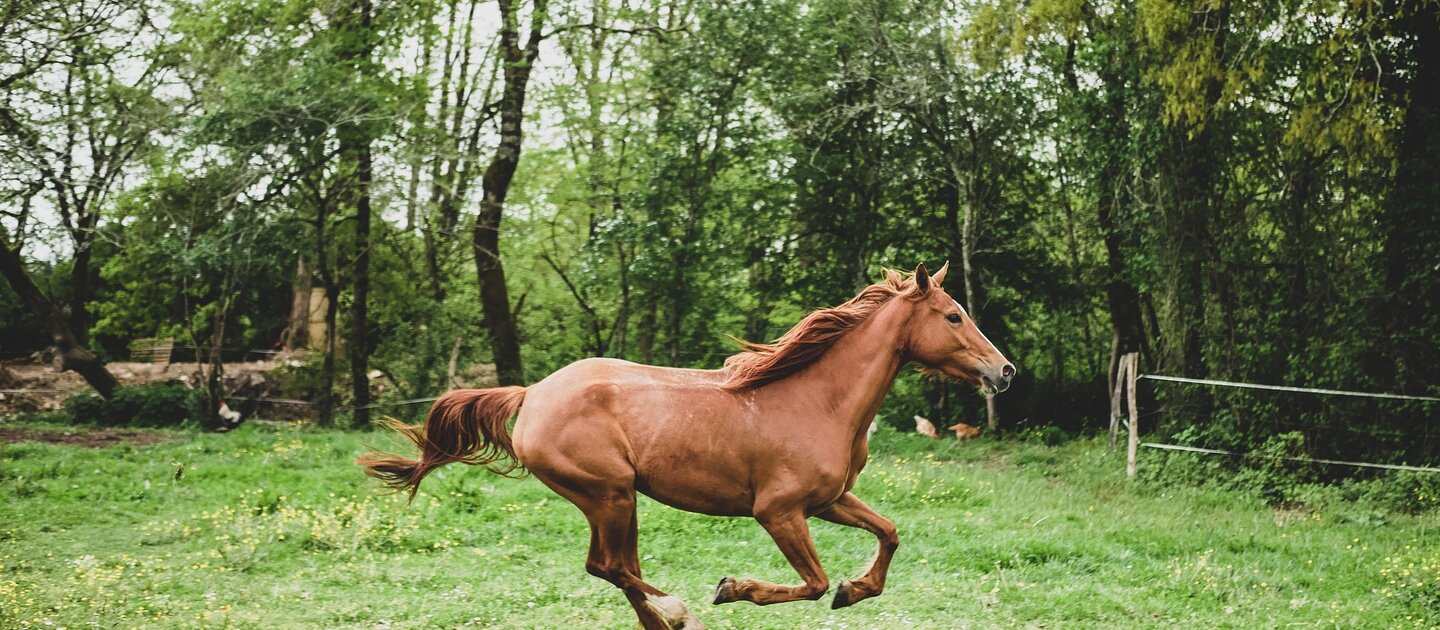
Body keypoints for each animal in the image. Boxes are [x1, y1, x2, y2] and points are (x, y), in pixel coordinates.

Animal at [358, 263, 1013, 627]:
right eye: (953, 316)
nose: (1004, 371)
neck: (819, 402)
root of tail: (532, 394)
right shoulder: (778, 511)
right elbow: (812, 582)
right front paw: (733, 589)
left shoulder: (829, 501)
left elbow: (889, 533)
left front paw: (857, 591)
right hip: (609, 494)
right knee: (611, 567)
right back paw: (683, 614)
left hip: (618, 501)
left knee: (617, 568)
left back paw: (665, 620)